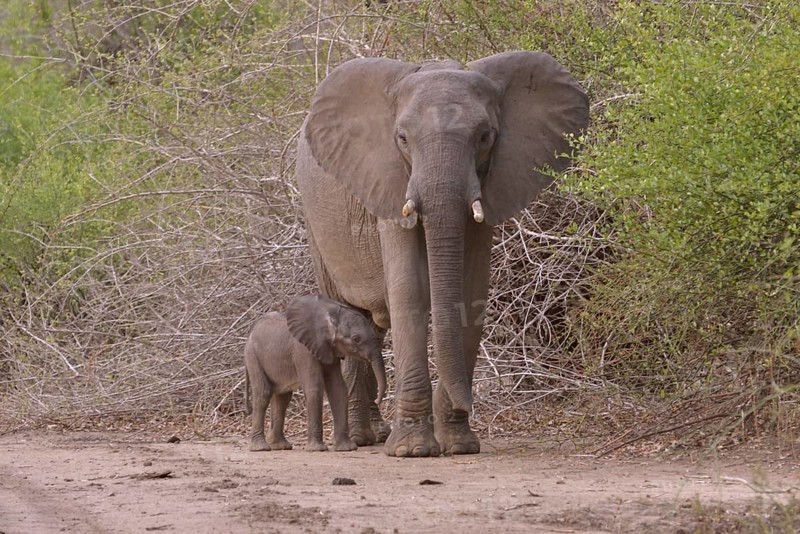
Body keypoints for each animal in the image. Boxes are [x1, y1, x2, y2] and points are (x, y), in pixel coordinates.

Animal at [244, 294, 387, 452]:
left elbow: (338, 389)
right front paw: (318, 449)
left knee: (283, 397)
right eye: (356, 339)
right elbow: (315, 387)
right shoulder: (303, 350)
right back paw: (261, 448)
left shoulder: (330, 350)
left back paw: (280, 446)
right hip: (252, 356)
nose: (377, 400)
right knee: (263, 394)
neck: (330, 313)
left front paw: (347, 448)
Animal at [295, 51, 588, 457]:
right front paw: (413, 450)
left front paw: (459, 444)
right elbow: (409, 291)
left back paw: (376, 434)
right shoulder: (390, 182)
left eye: (485, 137)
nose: (469, 404)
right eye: (402, 139)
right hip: (316, 223)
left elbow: (471, 292)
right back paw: (357, 440)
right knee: (347, 312)